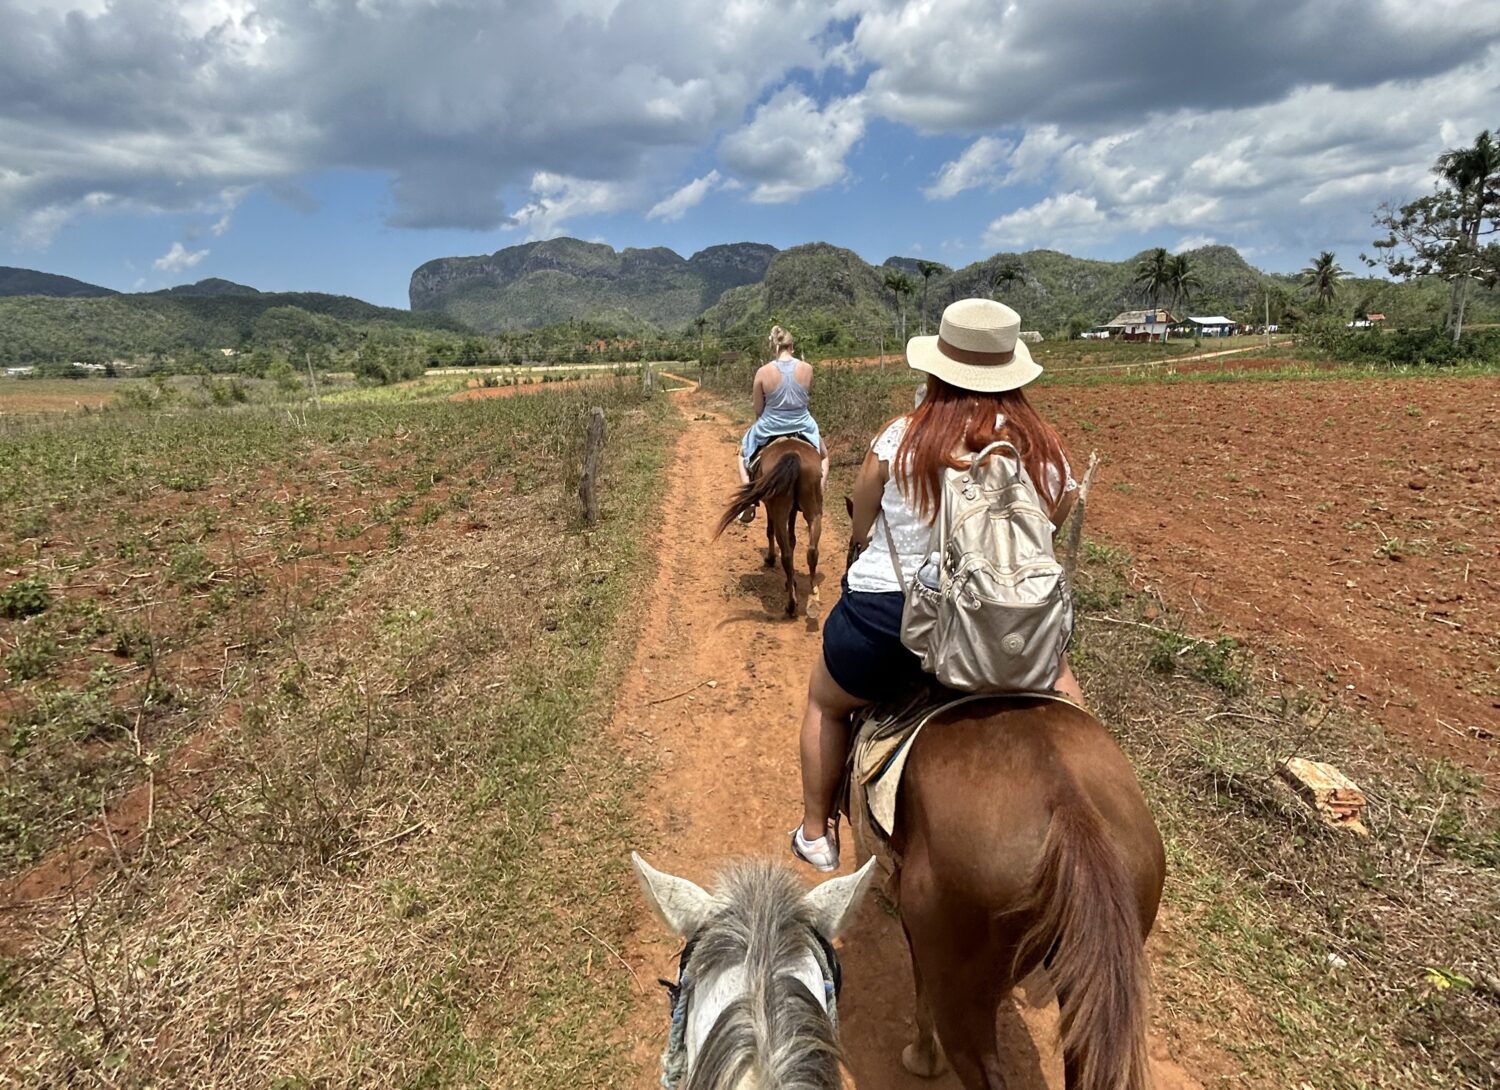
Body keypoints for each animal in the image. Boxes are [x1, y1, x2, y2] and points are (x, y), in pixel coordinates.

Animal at [711, 437, 822, 617]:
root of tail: (794, 454)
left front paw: (770, 559)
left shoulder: (770, 507)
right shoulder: (792, 510)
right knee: (812, 551)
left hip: (778, 509)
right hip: (813, 510)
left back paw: (791, 605)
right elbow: (792, 538)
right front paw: (791, 582)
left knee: (786, 555)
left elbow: (770, 532)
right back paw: (813, 598)